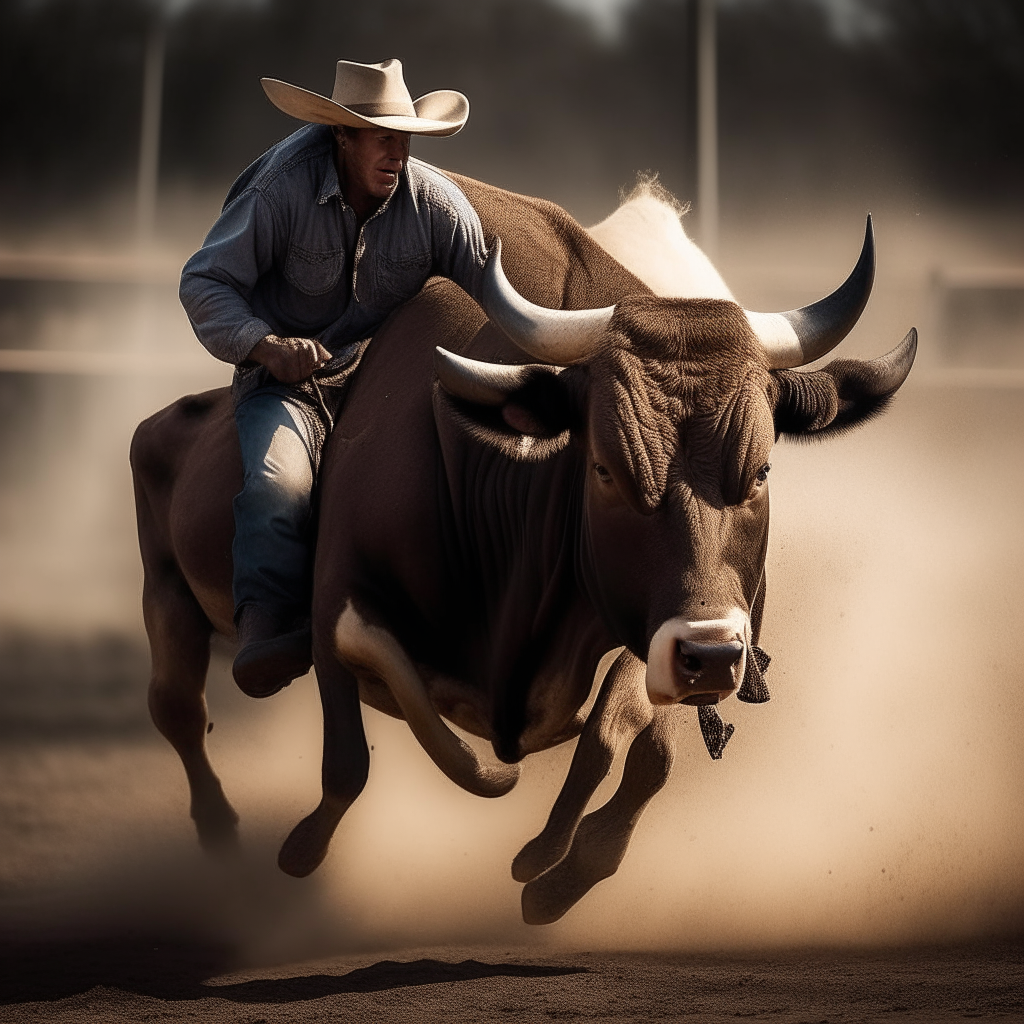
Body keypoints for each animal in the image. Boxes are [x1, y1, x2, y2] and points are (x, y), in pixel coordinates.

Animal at [132, 172, 917, 925]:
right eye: (604, 467)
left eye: (760, 471)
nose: (716, 656)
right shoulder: (335, 609)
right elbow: (359, 751)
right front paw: (304, 847)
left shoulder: (655, 626)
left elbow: (632, 748)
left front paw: (553, 867)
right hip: (166, 596)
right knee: (178, 710)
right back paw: (222, 835)